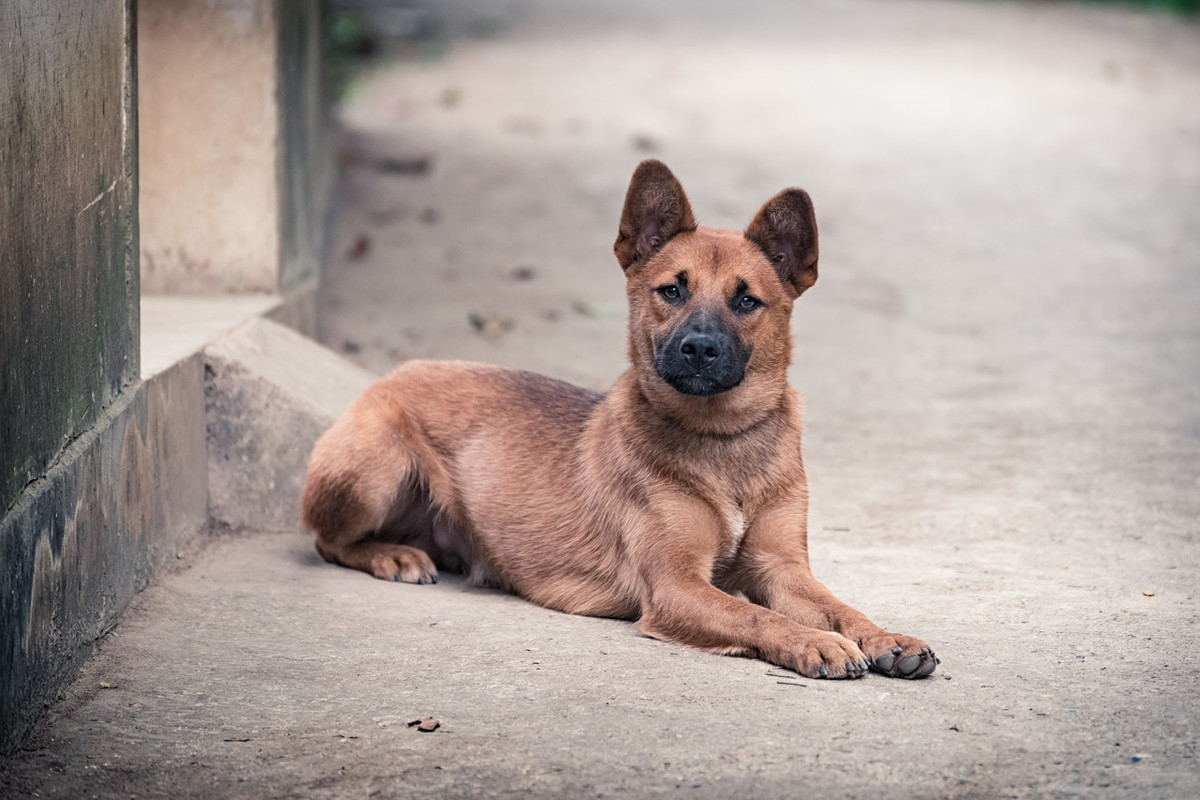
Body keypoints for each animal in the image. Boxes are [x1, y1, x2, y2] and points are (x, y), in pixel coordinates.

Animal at [302, 160, 936, 681]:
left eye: (746, 301)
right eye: (672, 290)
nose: (699, 349)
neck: (721, 439)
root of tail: (388, 376)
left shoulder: (782, 570)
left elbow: (841, 606)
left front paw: (886, 636)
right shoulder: (677, 586)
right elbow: (756, 617)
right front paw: (813, 643)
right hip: (376, 467)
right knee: (327, 541)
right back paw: (394, 555)